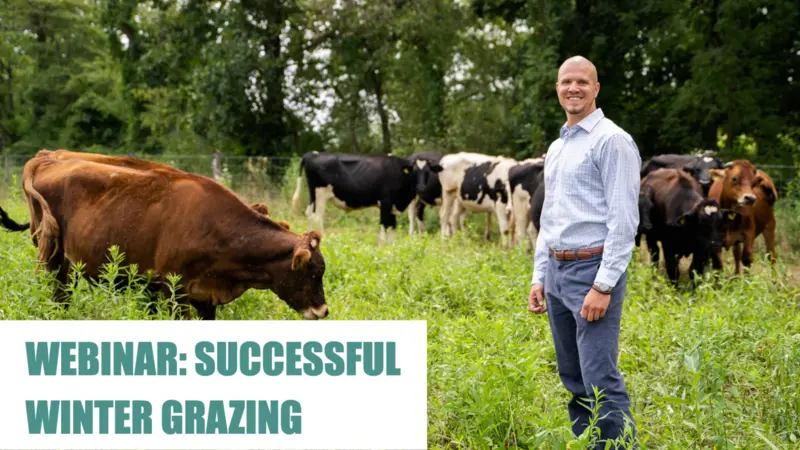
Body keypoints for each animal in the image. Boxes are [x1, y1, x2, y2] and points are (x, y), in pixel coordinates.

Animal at [21, 150, 328, 320]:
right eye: (311, 271)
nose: (323, 311)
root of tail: (46, 159)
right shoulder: (174, 290)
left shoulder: (205, 298)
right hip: (54, 263)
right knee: (59, 297)